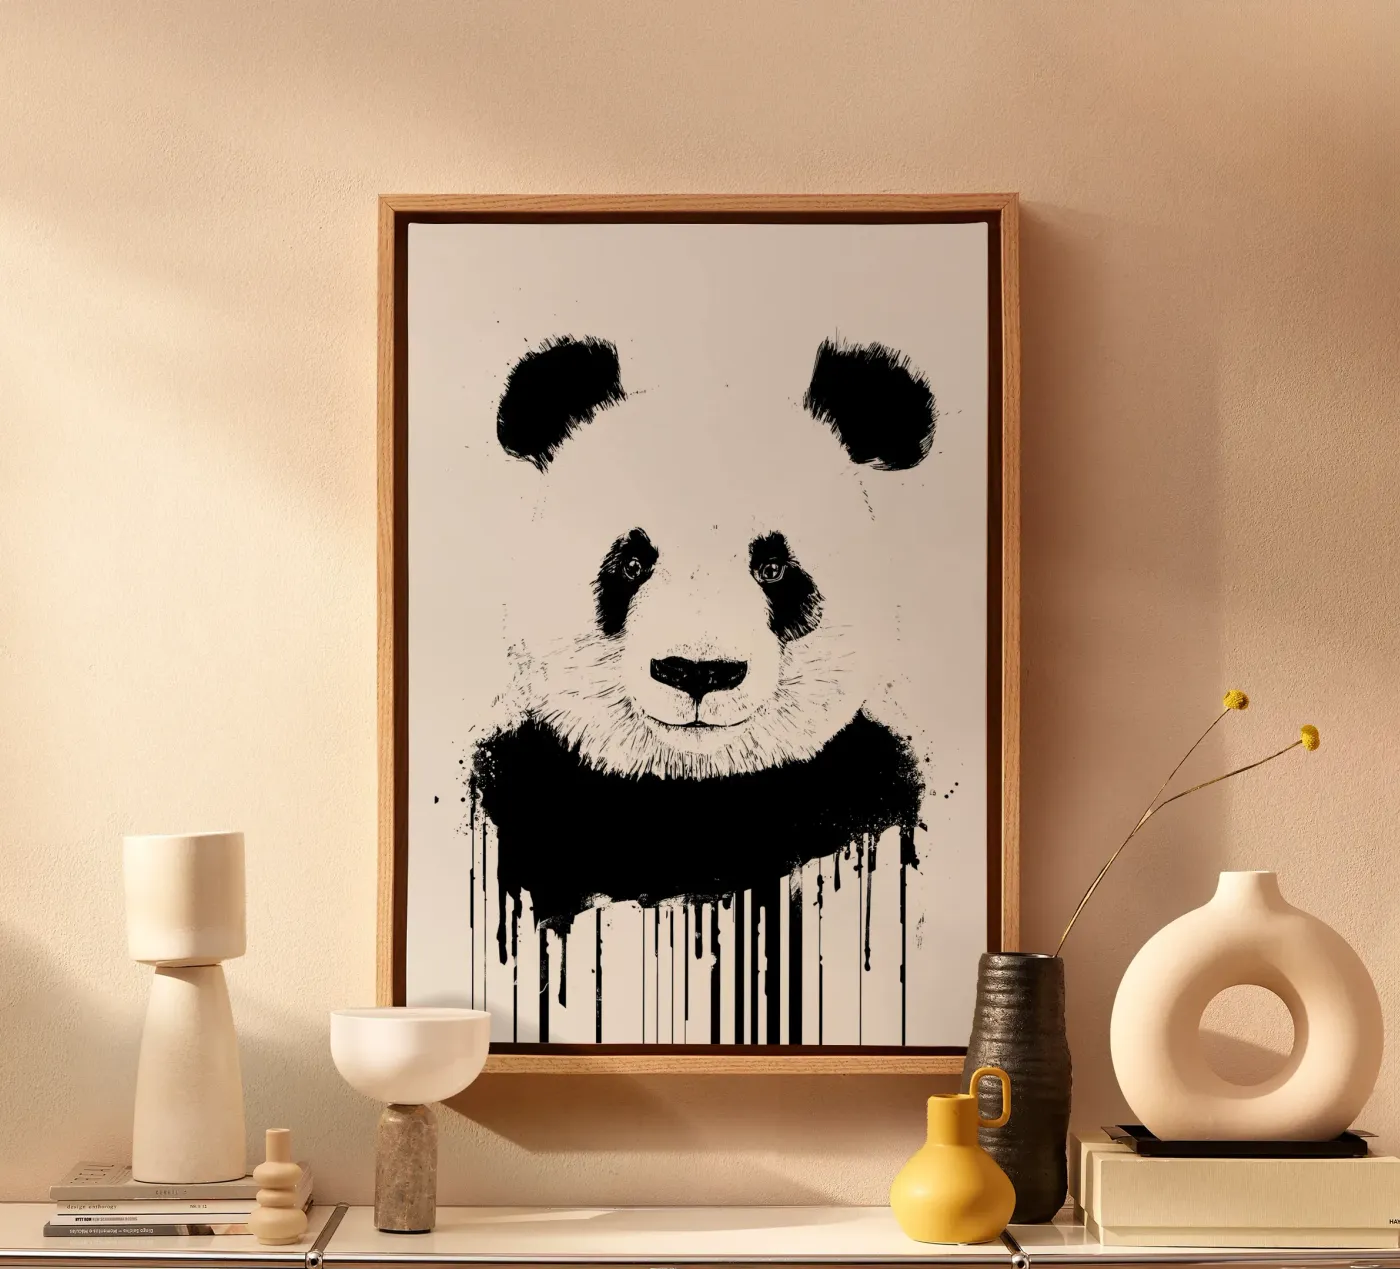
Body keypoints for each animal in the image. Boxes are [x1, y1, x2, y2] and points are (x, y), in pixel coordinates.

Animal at [471, 334, 937, 937]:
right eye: (631, 563)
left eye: (773, 568)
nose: (697, 672)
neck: (696, 794)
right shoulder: (533, 791)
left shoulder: (860, 787)